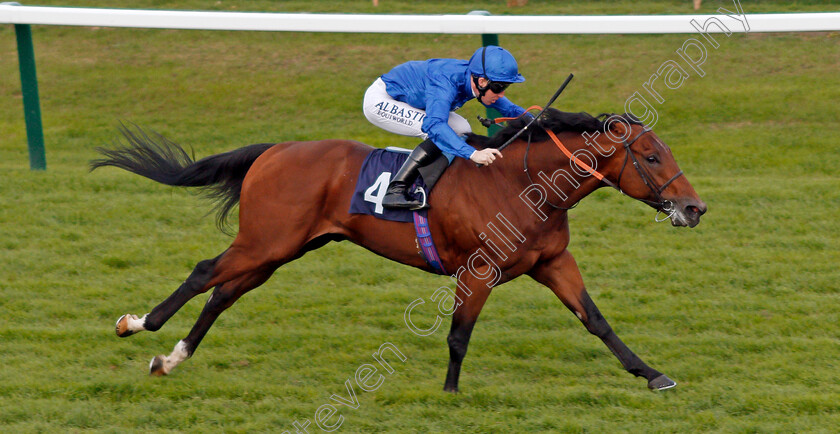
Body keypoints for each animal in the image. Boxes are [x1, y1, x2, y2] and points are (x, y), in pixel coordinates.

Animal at [92, 109, 704, 394]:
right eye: (651, 157)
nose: (695, 208)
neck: (524, 184)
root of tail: (275, 150)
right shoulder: (478, 270)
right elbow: (459, 334)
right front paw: (451, 393)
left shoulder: (553, 264)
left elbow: (596, 321)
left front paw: (652, 374)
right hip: (265, 240)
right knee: (204, 273)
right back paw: (136, 325)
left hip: (278, 250)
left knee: (223, 295)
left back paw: (171, 358)